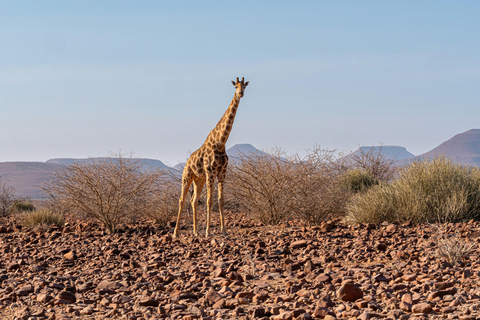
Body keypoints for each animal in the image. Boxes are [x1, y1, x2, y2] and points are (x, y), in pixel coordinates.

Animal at [172, 77, 249, 238]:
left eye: (244, 86)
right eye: (235, 86)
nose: (240, 93)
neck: (220, 142)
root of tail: (187, 162)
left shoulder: (222, 172)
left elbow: (220, 200)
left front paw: (224, 231)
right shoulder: (210, 171)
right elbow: (209, 201)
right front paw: (208, 232)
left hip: (199, 180)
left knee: (193, 201)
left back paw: (195, 232)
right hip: (187, 176)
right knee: (182, 199)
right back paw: (176, 233)